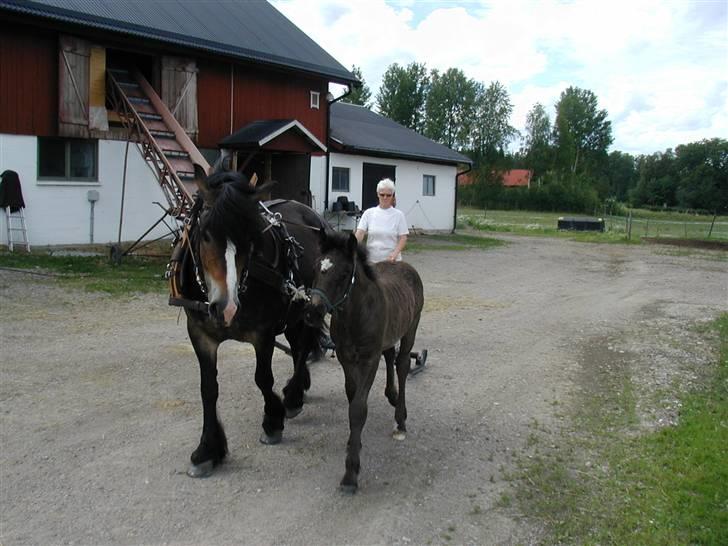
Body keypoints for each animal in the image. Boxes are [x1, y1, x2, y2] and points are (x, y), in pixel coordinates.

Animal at [302, 227, 426, 490]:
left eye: (344, 273)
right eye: (317, 267)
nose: (312, 312)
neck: (355, 315)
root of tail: (404, 266)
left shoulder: (369, 359)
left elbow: (359, 407)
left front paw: (351, 473)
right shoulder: (345, 357)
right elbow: (352, 396)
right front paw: (353, 442)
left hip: (411, 328)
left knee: (402, 364)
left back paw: (400, 420)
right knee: (390, 356)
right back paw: (392, 396)